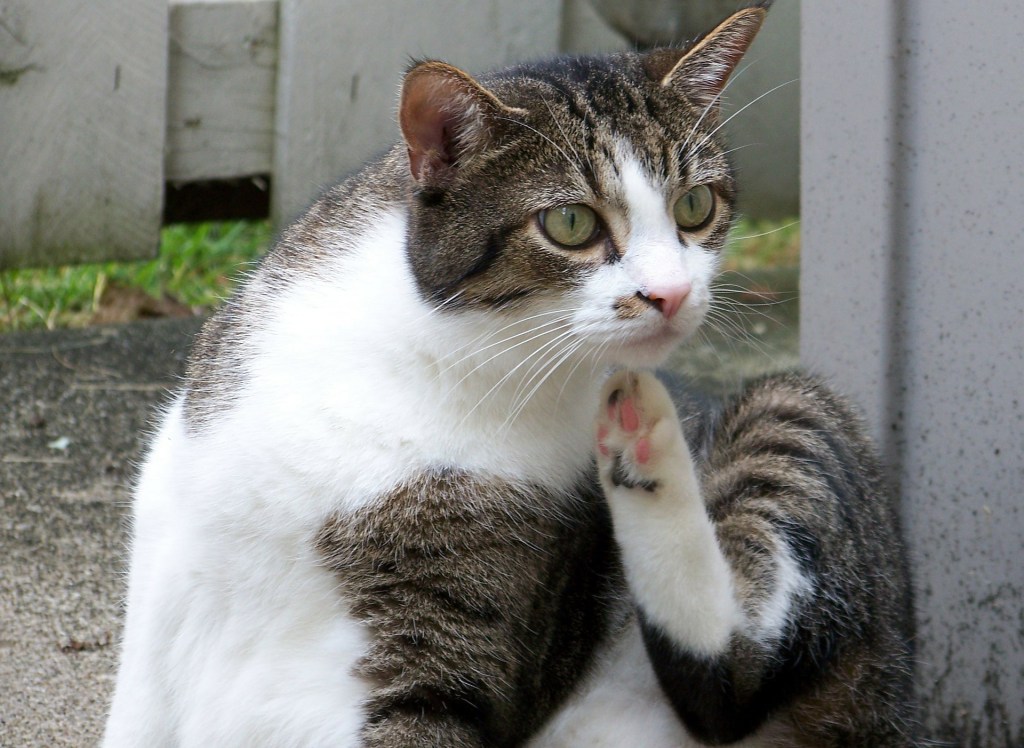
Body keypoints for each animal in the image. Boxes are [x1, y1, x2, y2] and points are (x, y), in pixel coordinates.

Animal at [105, 5, 921, 745]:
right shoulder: (166, 556)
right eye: (570, 223)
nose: (672, 293)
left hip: (796, 408)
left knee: (731, 674)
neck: (439, 352)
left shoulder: (453, 642)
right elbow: (138, 712)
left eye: (695, 206)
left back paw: (646, 443)